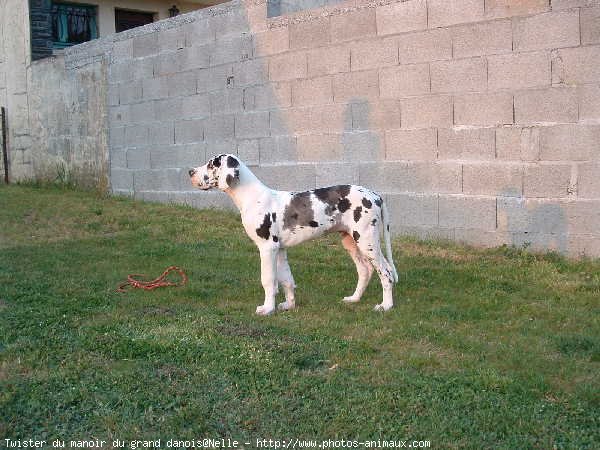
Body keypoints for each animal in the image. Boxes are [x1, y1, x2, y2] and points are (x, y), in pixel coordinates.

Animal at [189, 155, 398, 316]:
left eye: (211, 164)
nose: (190, 171)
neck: (253, 197)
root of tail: (376, 195)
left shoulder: (267, 248)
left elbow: (268, 280)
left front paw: (267, 309)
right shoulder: (279, 250)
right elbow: (286, 280)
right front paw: (289, 305)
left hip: (367, 241)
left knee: (386, 272)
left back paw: (386, 306)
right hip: (351, 241)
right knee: (365, 270)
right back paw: (354, 299)